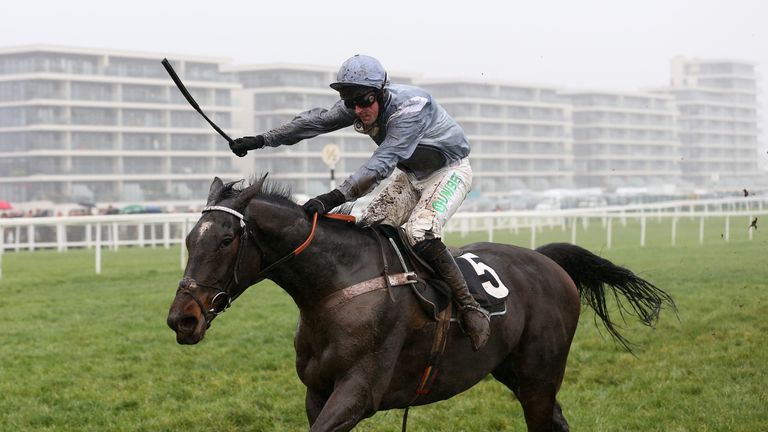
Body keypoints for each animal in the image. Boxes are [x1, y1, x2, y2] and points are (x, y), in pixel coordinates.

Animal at [166, 176, 672, 432]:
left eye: (226, 240)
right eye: (189, 239)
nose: (181, 319)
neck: (335, 287)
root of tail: (546, 259)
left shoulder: (359, 391)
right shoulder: (318, 392)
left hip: (540, 376)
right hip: (512, 370)